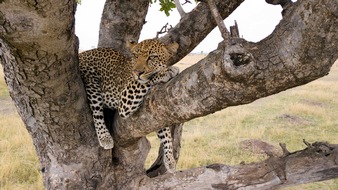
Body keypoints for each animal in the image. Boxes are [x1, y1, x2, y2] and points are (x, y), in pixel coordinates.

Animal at [78, 38, 180, 172]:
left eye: (152, 57)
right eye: (136, 56)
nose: (137, 72)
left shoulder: (154, 112)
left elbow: (166, 133)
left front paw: (170, 160)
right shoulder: (124, 99)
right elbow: (144, 80)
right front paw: (166, 71)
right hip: (91, 81)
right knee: (96, 112)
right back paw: (105, 137)